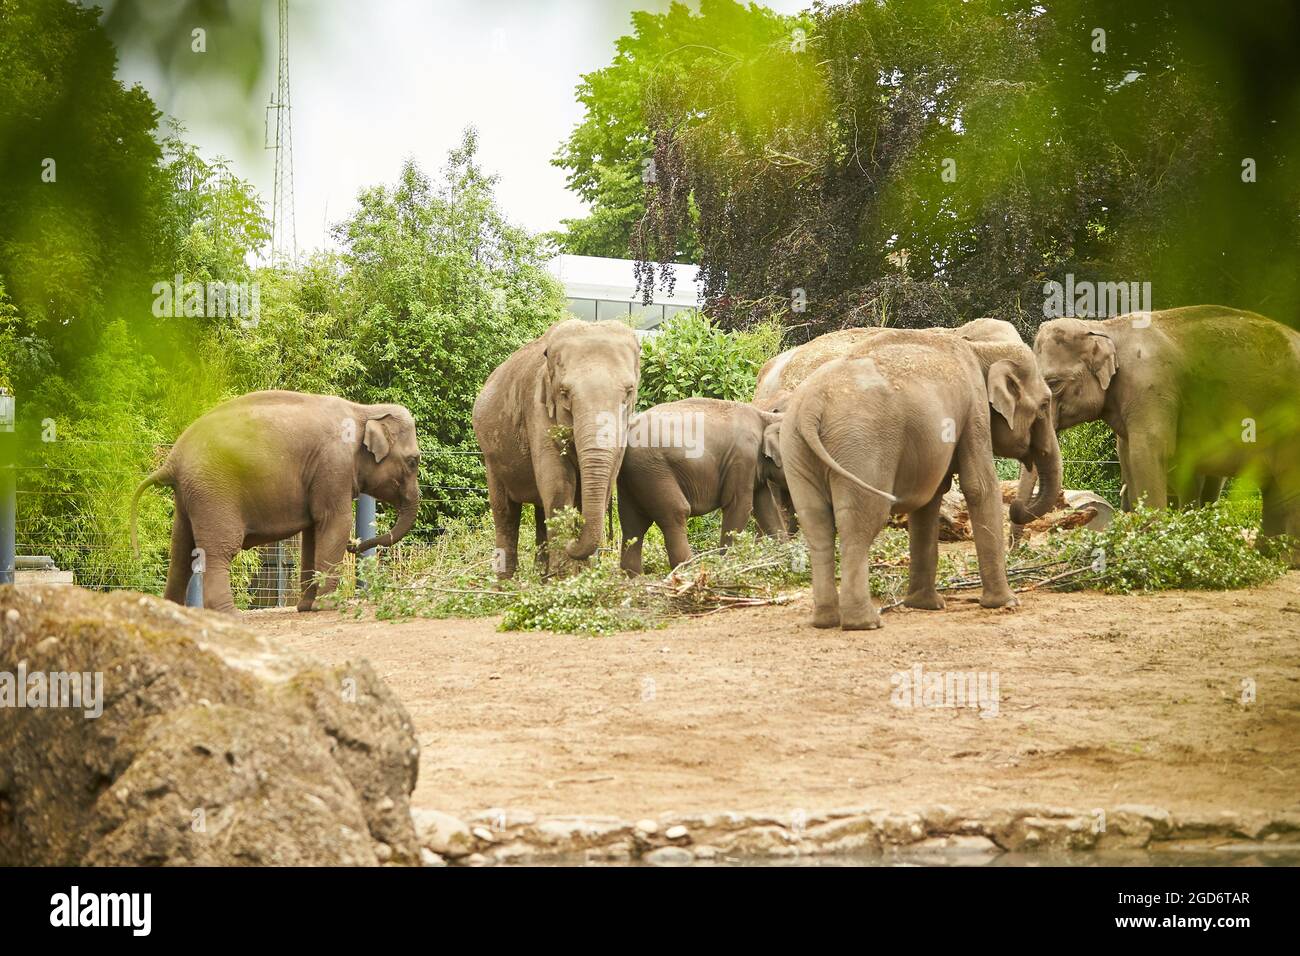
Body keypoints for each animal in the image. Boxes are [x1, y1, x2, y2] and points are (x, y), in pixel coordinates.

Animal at [130, 390, 421, 613]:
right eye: (413, 461)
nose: (354, 544)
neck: (364, 410)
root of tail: (172, 460)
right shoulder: (334, 465)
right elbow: (335, 522)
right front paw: (327, 606)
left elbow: (314, 532)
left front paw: (306, 607)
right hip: (212, 491)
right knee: (217, 551)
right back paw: (229, 615)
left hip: (189, 496)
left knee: (180, 551)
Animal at [475, 317, 642, 580]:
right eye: (564, 392)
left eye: (629, 391)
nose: (573, 543)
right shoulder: (537, 409)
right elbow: (557, 484)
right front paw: (564, 578)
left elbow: (604, 484)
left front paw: (583, 576)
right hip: (491, 458)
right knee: (505, 512)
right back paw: (506, 582)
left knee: (539, 511)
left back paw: (541, 577)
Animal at [616, 398, 785, 574]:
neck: (765, 417)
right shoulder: (743, 458)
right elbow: (739, 506)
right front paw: (725, 564)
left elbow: (766, 507)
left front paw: (785, 555)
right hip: (652, 471)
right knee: (676, 512)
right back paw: (687, 571)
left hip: (633, 478)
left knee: (632, 525)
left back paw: (636, 576)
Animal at [780, 325, 1055, 632]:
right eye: (1045, 404)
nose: (1017, 508)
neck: (979, 348)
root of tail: (811, 406)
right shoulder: (974, 408)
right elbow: (979, 486)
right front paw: (1007, 603)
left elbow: (930, 499)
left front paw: (926, 605)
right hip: (862, 446)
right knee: (860, 522)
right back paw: (865, 622)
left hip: (795, 448)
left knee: (816, 523)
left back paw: (825, 621)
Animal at [1024, 304, 1300, 561]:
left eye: (1054, 384)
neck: (1105, 327)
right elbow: (1128, 457)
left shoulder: (1151, 385)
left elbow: (1148, 452)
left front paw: (1154, 547)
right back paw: (1267, 554)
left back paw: (1287, 560)